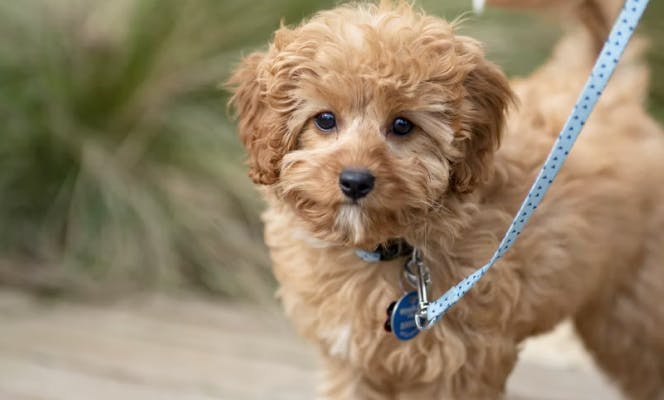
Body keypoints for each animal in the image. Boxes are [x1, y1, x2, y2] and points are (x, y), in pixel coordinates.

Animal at [228, 1, 664, 398]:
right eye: (324, 119)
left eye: (402, 125)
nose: (354, 181)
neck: (386, 248)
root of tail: (616, 95)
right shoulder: (351, 362)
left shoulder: (459, 364)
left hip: (632, 316)